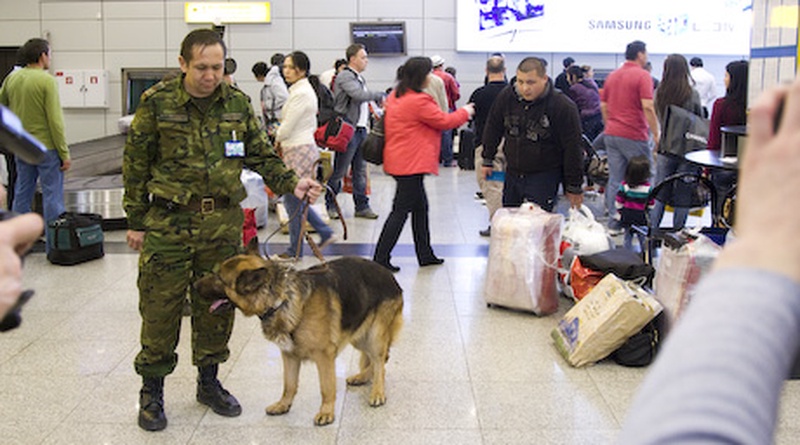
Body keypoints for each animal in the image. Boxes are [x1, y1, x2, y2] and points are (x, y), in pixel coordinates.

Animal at [193, 241, 404, 424]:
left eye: (219, 278)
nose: (194, 285)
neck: (280, 300)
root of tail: (389, 275)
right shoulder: (289, 355)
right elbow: (289, 385)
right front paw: (283, 405)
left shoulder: (324, 356)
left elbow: (327, 387)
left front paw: (326, 412)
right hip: (359, 335)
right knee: (379, 359)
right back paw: (362, 377)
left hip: (374, 335)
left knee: (380, 360)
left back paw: (377, 392)